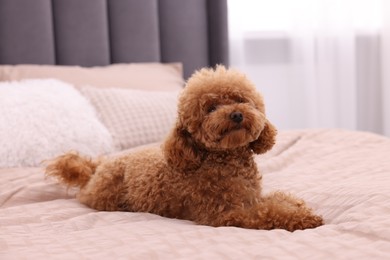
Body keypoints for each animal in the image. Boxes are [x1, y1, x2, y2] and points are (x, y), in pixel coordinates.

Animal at [45, 65, 322, 232]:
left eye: (240, 100)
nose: (236, 114)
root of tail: (98, 167)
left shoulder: (250, 196)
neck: (226, 160)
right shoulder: (224, 214)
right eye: (210, 108)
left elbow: (278, 200)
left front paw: (298, 206)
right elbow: (268, 212)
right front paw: (303, 219)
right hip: (105, 197)